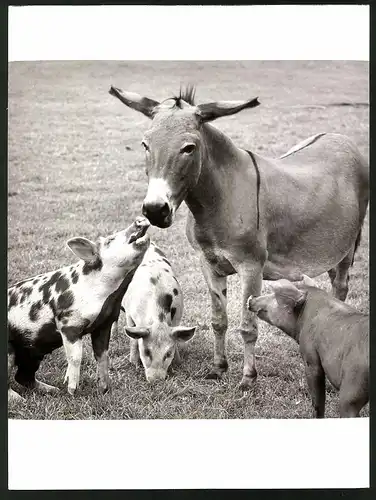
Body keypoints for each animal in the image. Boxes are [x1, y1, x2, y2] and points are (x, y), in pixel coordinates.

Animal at [7, 217, 150, 400]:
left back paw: (52, 390)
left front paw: (105, 389)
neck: (111, 294)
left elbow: (103, 355)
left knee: (23, 376)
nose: (139, 219)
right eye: (110, 240)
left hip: (32, 352)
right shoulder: (68, 323)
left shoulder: (104, 324)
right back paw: (19, 399)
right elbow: (75, 357)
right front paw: (71, 390)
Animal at [114, 242, 197, 382]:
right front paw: (133, 363)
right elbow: (133, 340)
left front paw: (178, 362)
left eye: (168, 353)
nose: (156, 380)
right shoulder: (130, 316)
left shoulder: (177, 317)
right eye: (146, 351)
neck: (158, 319)